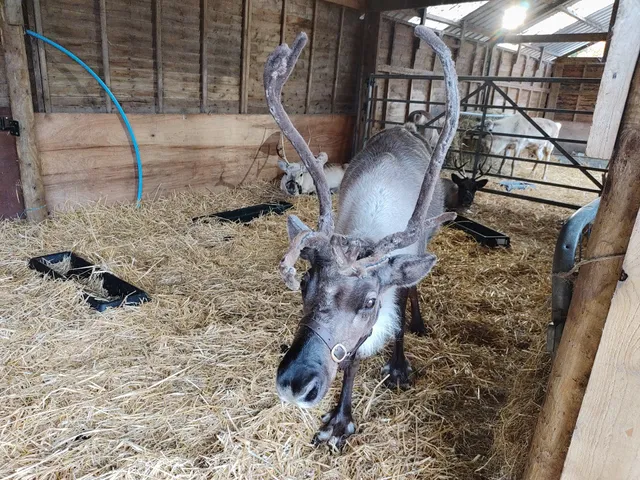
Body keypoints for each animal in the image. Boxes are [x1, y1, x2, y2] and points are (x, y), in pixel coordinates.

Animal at [267, 26, 459, 449]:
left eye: (370, 300)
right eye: (304, 283)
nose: (296, 383)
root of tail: (407, 126)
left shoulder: (397, 272)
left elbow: (397, 313)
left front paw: (399, 367)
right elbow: (351, 355)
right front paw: (339, 419)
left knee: (415, 289)